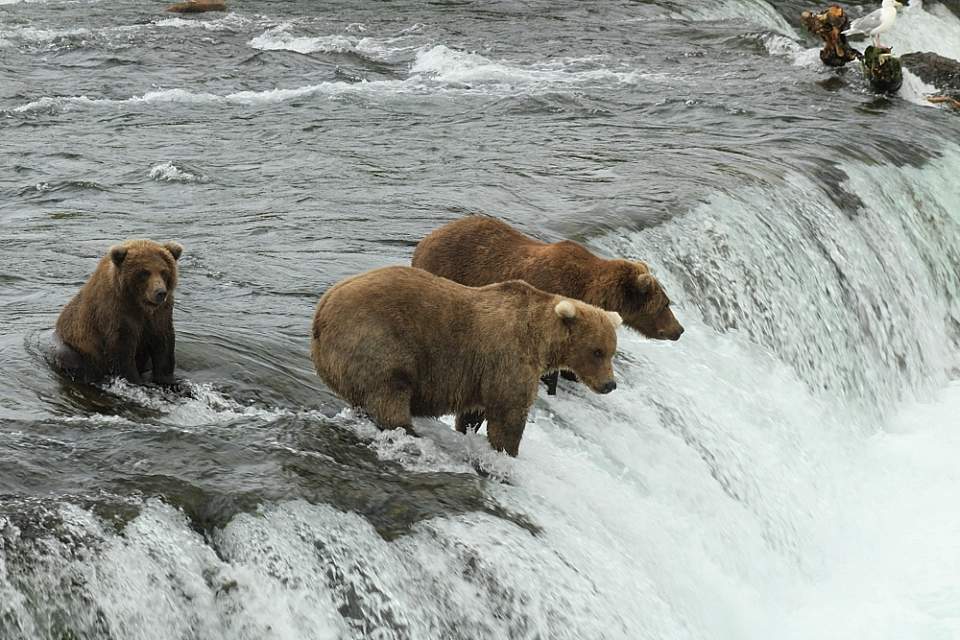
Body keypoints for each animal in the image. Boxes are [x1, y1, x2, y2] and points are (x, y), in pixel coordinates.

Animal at [54, 238, 184, 382]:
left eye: (164, 272)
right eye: (144, 272)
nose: (160, 292)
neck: (139, 303)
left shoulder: (160, 313)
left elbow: (163, 342)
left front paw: (166, 378)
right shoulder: (116, 312)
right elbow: (122, 350)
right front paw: (135, 379)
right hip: (75, 348)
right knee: (72, 360)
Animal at [310, 264, 624, 456]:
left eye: (611, 351)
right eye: (596, 351)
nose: (609, 384)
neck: (541, 340)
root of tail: (320, 312)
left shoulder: (481, 373)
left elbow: (475, 412)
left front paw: (469, 431)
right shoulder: (508, 357)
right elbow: (508, 412)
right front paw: (507, 451)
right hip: (377, 341)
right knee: (389, 395)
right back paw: (409, 431)